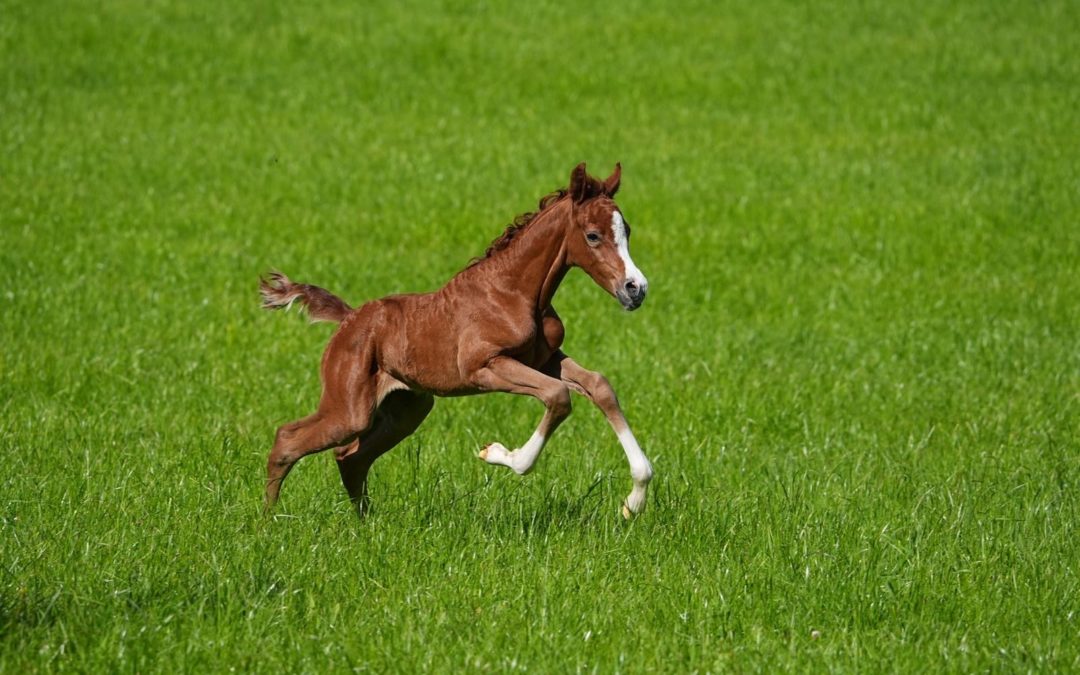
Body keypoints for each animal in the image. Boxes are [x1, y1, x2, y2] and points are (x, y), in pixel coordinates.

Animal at [259, 162, 656, 516]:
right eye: (593, 235)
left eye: (627, 230)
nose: (635, 289)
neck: (514, 292)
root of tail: (349, 319)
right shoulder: (485, 368)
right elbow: (558, 397)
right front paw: (498, 454)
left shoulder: (545, 359)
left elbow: (600, 386)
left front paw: (633, 501)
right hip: (350, 409)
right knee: (288, 441)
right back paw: (269, 521)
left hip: (407, 409)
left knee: (350, 457)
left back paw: (364, 521)